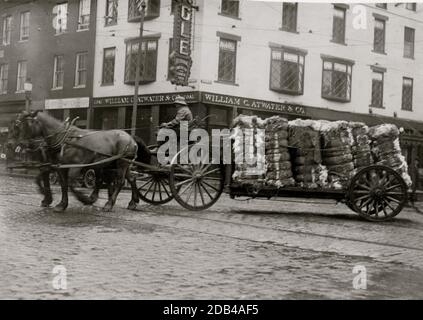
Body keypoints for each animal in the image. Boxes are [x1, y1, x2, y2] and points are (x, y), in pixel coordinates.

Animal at [16, 110, 149, 212]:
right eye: (18, 125)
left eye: (27, 124)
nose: (20, 145)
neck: (64, 140)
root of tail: (130, 137)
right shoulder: (60, 168)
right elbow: (64, 184)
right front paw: (61, 204)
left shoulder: (75, 167)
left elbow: (70, 184)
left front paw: (85, 199)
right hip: (117, 164)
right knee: (131, 179)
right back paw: (133, 202)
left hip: (122, 163)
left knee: (120, 182)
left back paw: (109, 204)